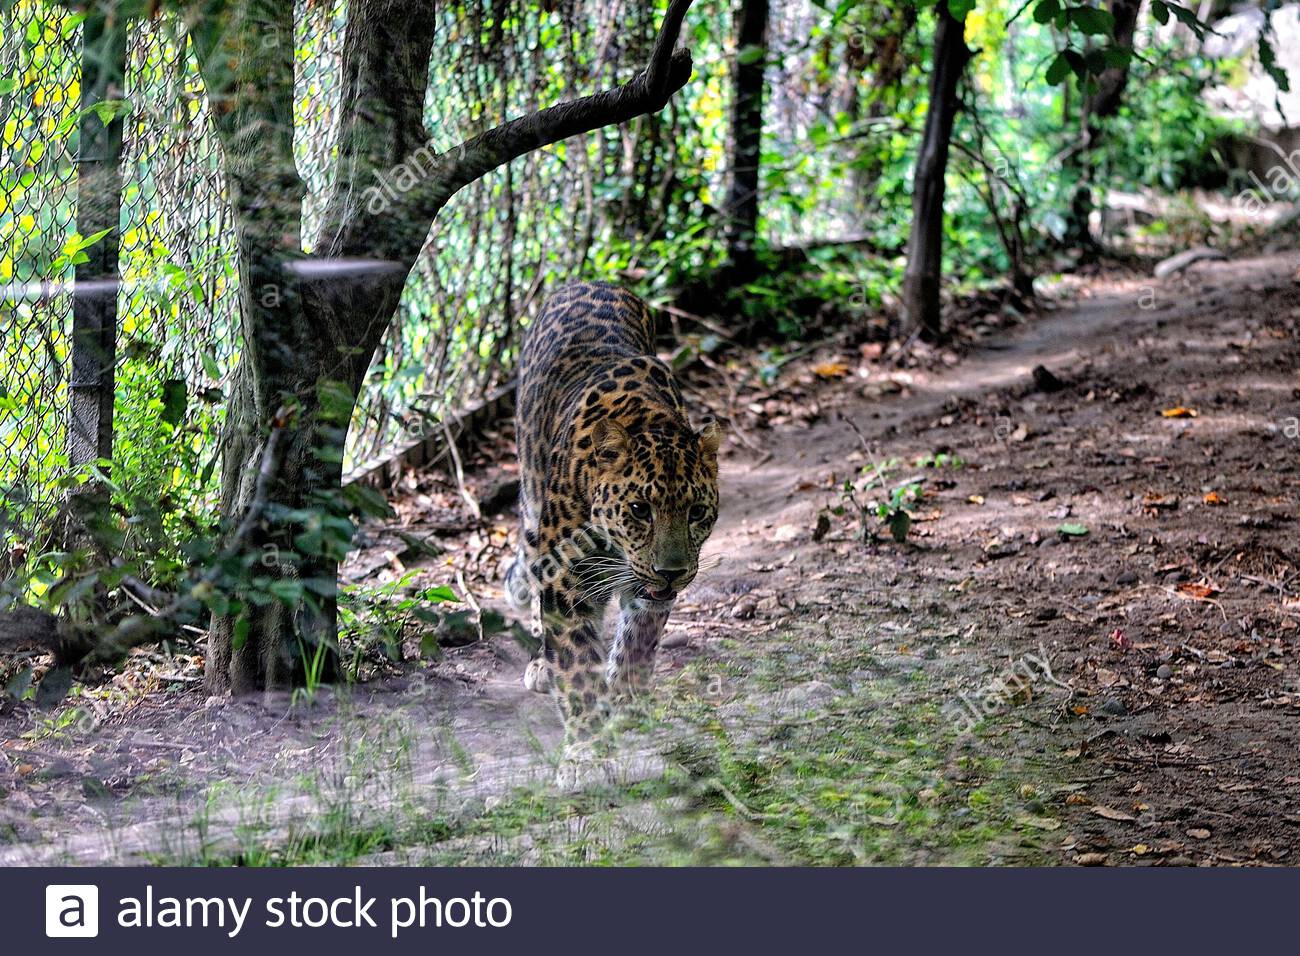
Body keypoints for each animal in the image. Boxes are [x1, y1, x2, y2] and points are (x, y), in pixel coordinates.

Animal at [504, 281, 721, 752]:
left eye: (697, 512)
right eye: (640, 509)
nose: (672, 572)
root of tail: (587, 282)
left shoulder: (647, 591)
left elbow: (638, 642)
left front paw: (627, 704)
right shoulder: (564, 583)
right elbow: (576, 662)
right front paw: (586, 744)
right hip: (531, 497)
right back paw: (540, 664)